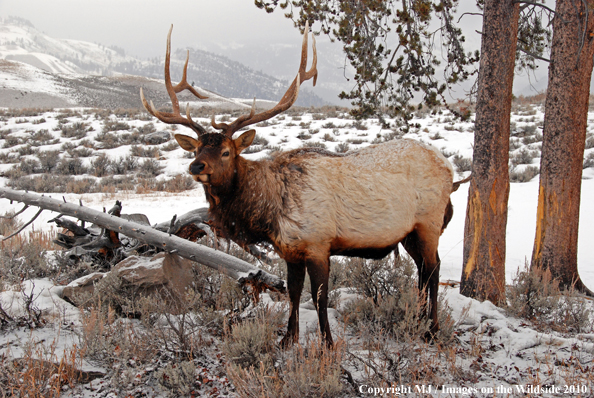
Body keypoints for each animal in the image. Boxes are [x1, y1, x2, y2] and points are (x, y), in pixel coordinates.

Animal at [139, 24, 462, 346]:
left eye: (227, 151)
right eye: (196, 149)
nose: (196, 167)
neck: (269, 213)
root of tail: (449, 166)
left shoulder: (319, 243)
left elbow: (319, 297)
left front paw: (327, 344)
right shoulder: (290, 250)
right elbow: (293, 292)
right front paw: (288, 339)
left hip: (429, 222)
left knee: (434, 270)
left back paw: (432, 329)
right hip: (408, 232)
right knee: (422, 271)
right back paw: (418, 321)